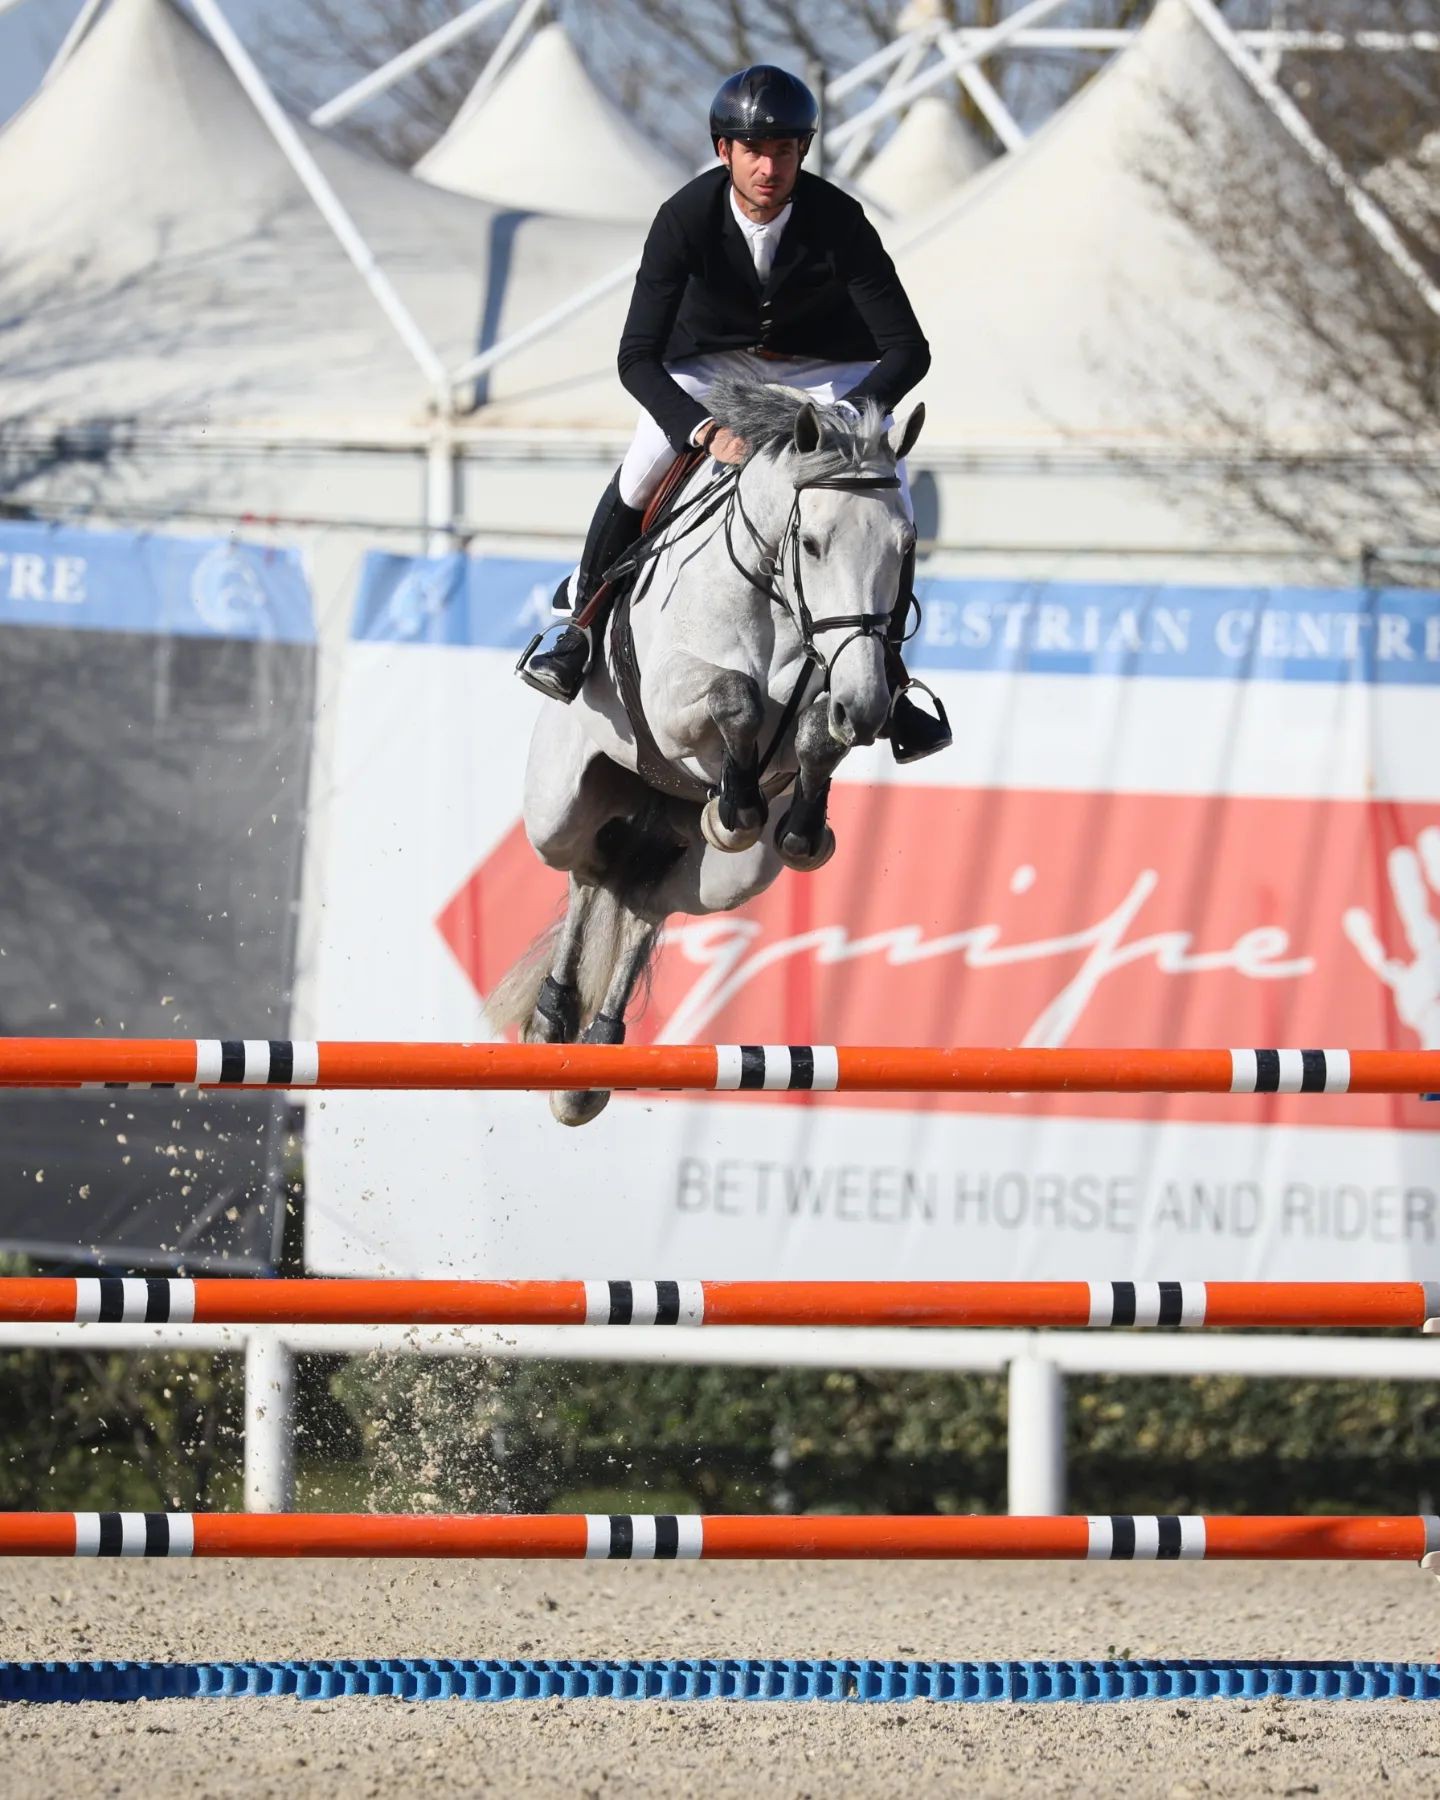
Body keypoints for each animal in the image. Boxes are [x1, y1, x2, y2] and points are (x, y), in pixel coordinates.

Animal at [489, 376, 928, 1123]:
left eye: (905, 549)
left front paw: (796, 826)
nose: (867, 706)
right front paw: (736, 804)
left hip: (725, 878)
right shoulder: (672, 704)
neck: (775, 597)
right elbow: (735, 697)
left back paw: (595, 1051)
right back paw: (553, 1023)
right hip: (560, 809)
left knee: (644, 897)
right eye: (813, 544)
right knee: (587, 869)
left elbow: (813, 735)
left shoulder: (835, 690)